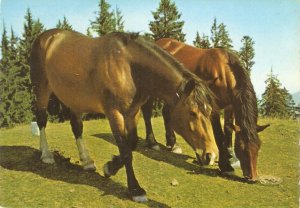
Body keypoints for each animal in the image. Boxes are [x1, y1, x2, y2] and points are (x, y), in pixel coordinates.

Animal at [29, 29, 218, 202]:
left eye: (209, 111)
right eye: (192, 113)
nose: (211, 155)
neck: (127, 66)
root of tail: (46, 37)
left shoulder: (132, 113)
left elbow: (131, 143)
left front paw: (110, 167)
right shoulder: (114, 113)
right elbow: (126, 150)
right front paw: (135, 189)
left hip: (74, 99)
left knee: (76, 127)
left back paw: (87, 161)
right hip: (42, 89)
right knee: (42, 119)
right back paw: (46, 155)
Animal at [142, 38, 270, 181]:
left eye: (258, 146)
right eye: (242, 147)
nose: (252, 177)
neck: (223, 71)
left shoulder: (230, 105)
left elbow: (228, 129)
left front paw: (230, 156)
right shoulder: (212, 107)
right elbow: (218, 134)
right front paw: (225, 165)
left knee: (166, 113)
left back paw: (173, 143)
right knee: (147, 111)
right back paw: (152, 142)